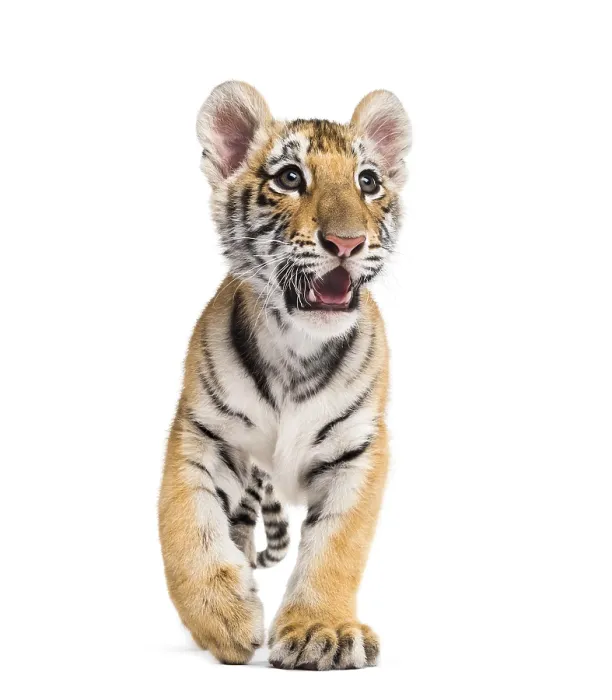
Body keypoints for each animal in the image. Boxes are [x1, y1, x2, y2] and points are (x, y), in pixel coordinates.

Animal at [158, 81, 411, 670]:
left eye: (368, 181)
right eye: (290, 178)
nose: (347, 243)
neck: (298, 346)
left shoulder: (359, 449)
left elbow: (338, 544)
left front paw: (323, 630)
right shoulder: (202, 433)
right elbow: (186, 526)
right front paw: (223, 617)